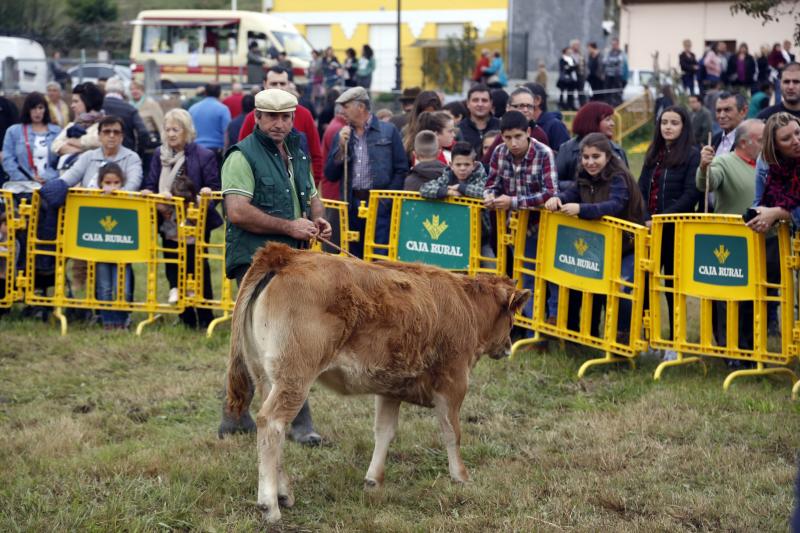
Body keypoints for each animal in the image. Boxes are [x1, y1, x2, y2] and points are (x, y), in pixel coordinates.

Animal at [223, 243, 524, 520]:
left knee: (275, 430)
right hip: (294, 379)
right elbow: (452, 432)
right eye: (512, 318)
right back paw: (270, 504)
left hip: (266, 378)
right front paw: (461, 476)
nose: (509, 347)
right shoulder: (453, 383)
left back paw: (284, 493)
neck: (465, 304)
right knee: (271, 424)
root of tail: (285, 255)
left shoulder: (390, 389)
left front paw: (373, 480)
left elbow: (384, 432)